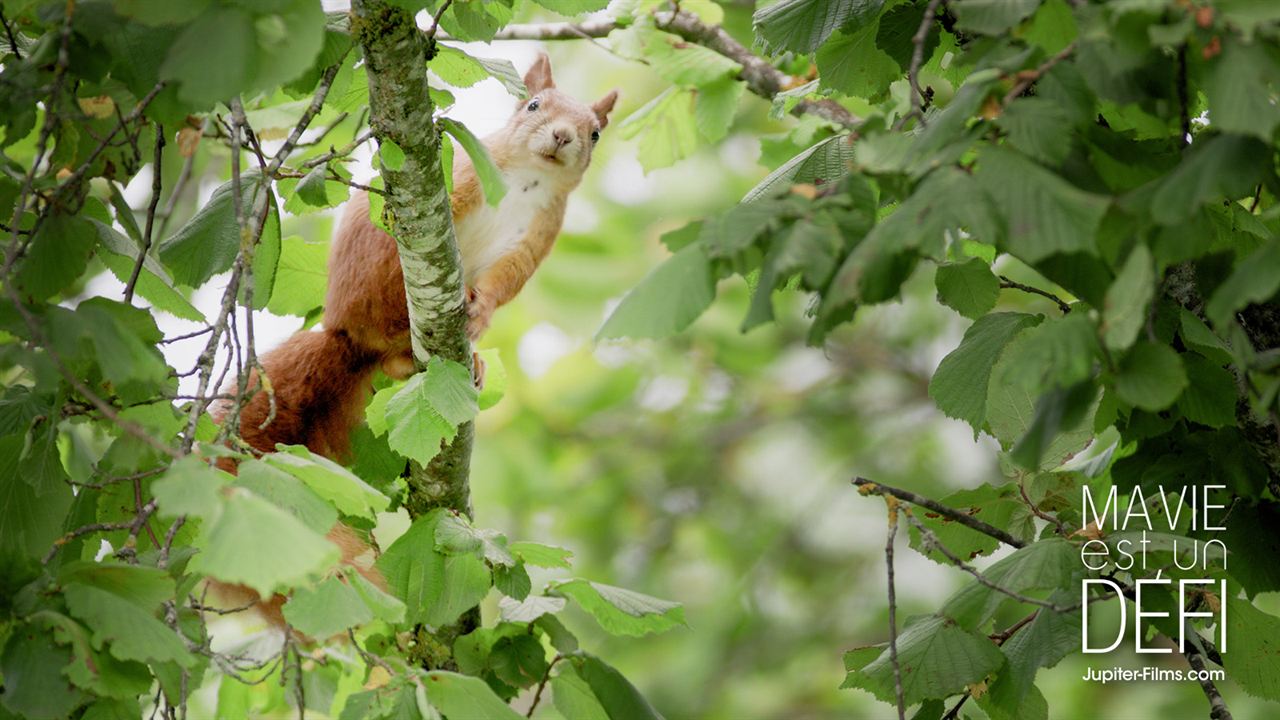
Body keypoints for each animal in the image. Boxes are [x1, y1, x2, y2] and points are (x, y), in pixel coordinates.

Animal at [211, 56, 619, 625]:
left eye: (595, 132)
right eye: (534, 105)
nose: (563, 136)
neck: (528, 181)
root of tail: (346, 335)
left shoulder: (536, 237)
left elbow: (504, 282)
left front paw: (481, 310)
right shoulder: (464, 173)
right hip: (379, 276)